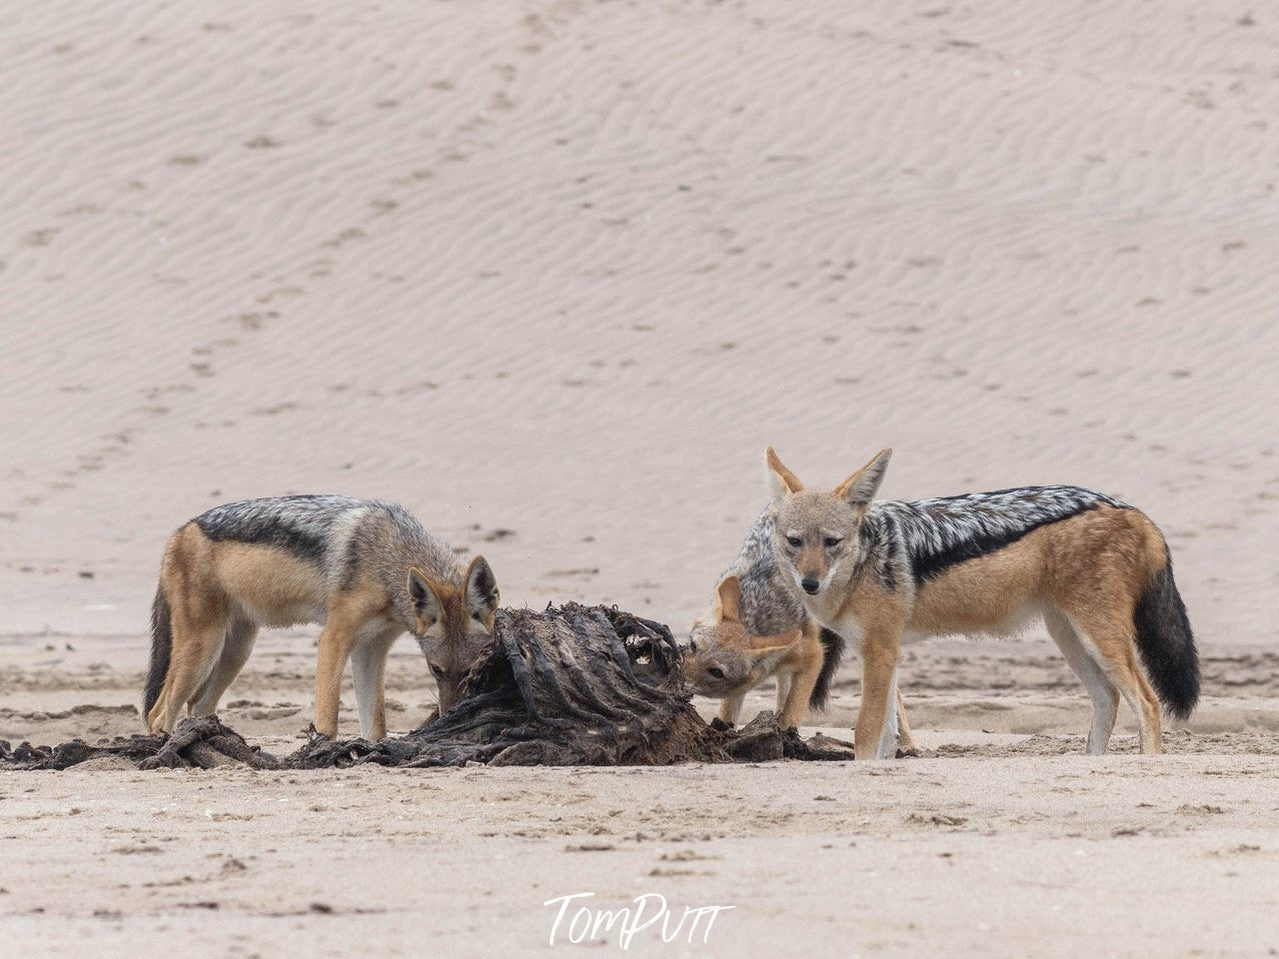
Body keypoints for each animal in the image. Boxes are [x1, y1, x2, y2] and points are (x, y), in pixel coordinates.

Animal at [143, 495, 499, 740]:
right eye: (435, 670)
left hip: (235, 654)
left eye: (472, 670)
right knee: (158, 713)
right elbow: (329, 716)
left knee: (196, 707)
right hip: (203, 650)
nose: (451, 717)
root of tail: (178, 533)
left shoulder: (371, 649)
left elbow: (375, 725)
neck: (388, 555)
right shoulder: (334, 638)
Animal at [683, 510, 915, 746]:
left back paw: (907, 744)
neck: (760, 611)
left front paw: (786, 738)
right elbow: (729, 714)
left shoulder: (814, 657)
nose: (679, 680)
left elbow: (792, 712)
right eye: (693, 645)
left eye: (716, 671)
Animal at [764, 447, 1199, 760]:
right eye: (795, 541)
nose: (810, 583)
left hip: (1097, 637)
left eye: (832, 542)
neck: (865, 558)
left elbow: (866, 736)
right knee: (1108, 699)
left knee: (1148, 703)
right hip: (1070, 638)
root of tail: (1130, 509)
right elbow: (887, 738)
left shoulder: (880, 653)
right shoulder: (886, 654)